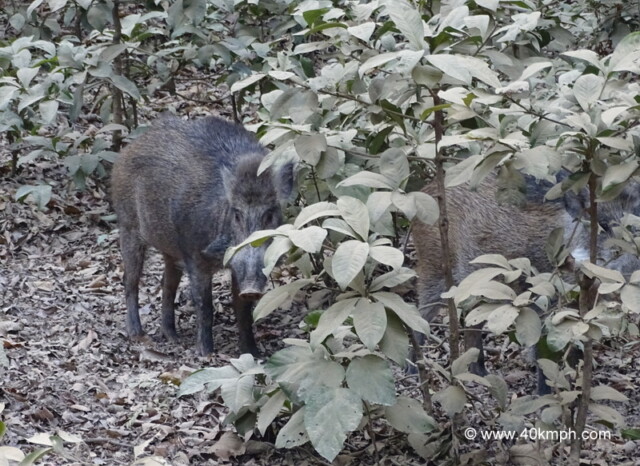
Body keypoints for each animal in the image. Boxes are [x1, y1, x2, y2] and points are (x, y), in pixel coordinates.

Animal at [111, 115, 294, 356]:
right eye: (236, 214)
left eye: (270, 214)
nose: (252, 290)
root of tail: (128, 148)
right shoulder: (195, 256)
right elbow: (204, 305)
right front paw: (206, 353)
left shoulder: (234, 265)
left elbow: (242, 309)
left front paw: (251, 353)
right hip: (128, 226)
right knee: (130, 280)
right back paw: (138, 335)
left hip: (170, 250)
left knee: (167, 284)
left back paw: (173, 337)